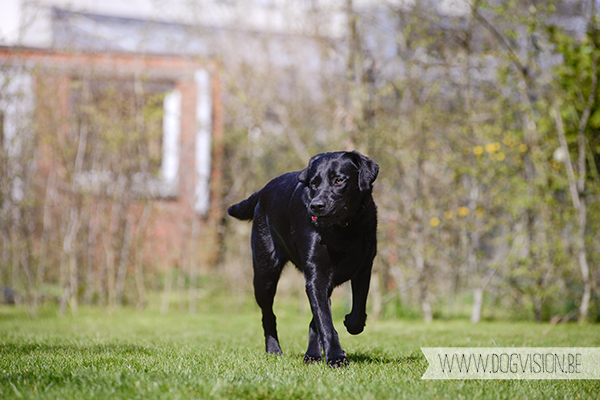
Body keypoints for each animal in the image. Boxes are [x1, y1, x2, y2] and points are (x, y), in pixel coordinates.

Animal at [227, 152, 378, 368]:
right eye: (313, 183)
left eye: (339, 180)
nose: (316, 206)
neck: (343, 230)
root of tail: (263, 190)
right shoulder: (316, 276)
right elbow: (325, 321)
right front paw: (336, 357)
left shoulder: (363, 268)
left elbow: (355, 314)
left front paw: (348, 324)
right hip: (264, 276)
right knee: (268, 315)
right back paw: (274, 350)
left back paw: (312, 355)